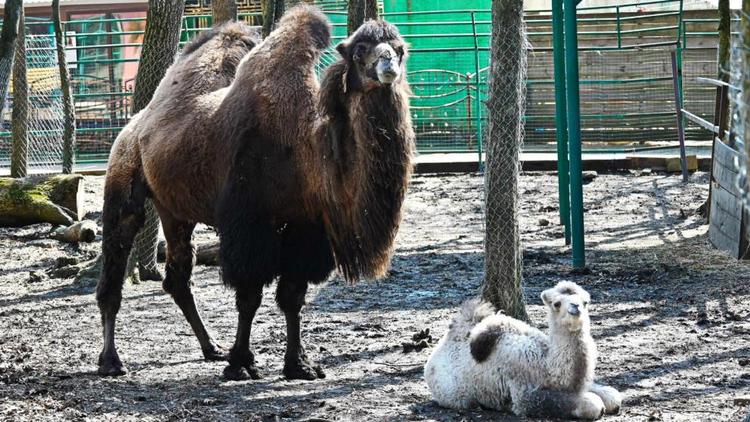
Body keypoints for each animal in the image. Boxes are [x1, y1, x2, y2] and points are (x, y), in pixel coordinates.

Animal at [96, 5, 414, 382]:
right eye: (360, 50)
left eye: (400, 49)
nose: (388, 64)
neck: (306, 147)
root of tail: (137, 123)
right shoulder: (248, 220)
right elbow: (249, 295)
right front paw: (241, 363)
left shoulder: (306, 226)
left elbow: (293, 296)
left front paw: (299, 364)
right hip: (123, 172)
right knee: (117, 257)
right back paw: (111, 360)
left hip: (174, 209)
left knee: (178, 274)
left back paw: (211, 347)